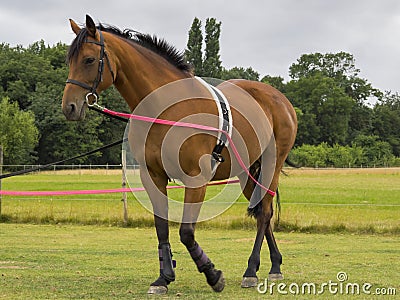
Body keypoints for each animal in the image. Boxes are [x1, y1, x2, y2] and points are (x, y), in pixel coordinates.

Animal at [61, 15, 296, 294]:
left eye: (88, 60)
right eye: (69, 60)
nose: (69, 107)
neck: (166, 108)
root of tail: (278, 98)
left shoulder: (196, 179)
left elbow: (186, 232)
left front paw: (212, 274)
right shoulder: (153, 176)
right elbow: (162, 228)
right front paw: (164, 277)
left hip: (271, 166)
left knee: (265, 214)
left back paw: (251, 270)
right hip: (246, 173)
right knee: (262, 212)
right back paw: (274, 264)